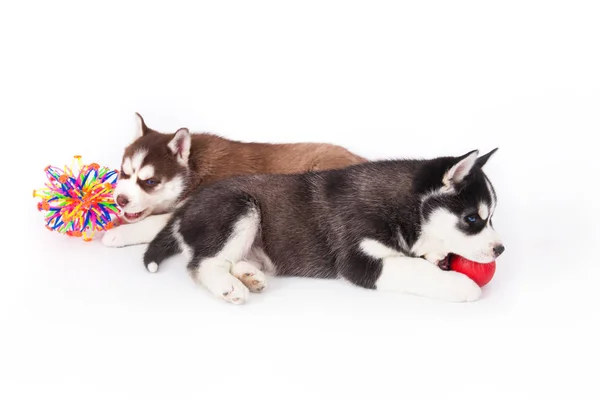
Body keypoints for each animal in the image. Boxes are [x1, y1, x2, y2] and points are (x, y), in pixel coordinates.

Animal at [143, 149, 504, 304]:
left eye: (491, 216)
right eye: (472, 219)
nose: (500, 249)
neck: (401, 207)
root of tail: (184, 208)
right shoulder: (358, 261)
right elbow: (413, 269)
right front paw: (460, 285)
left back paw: (249, 274)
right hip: (239, 209)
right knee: (203, 263)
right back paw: (228, 286)